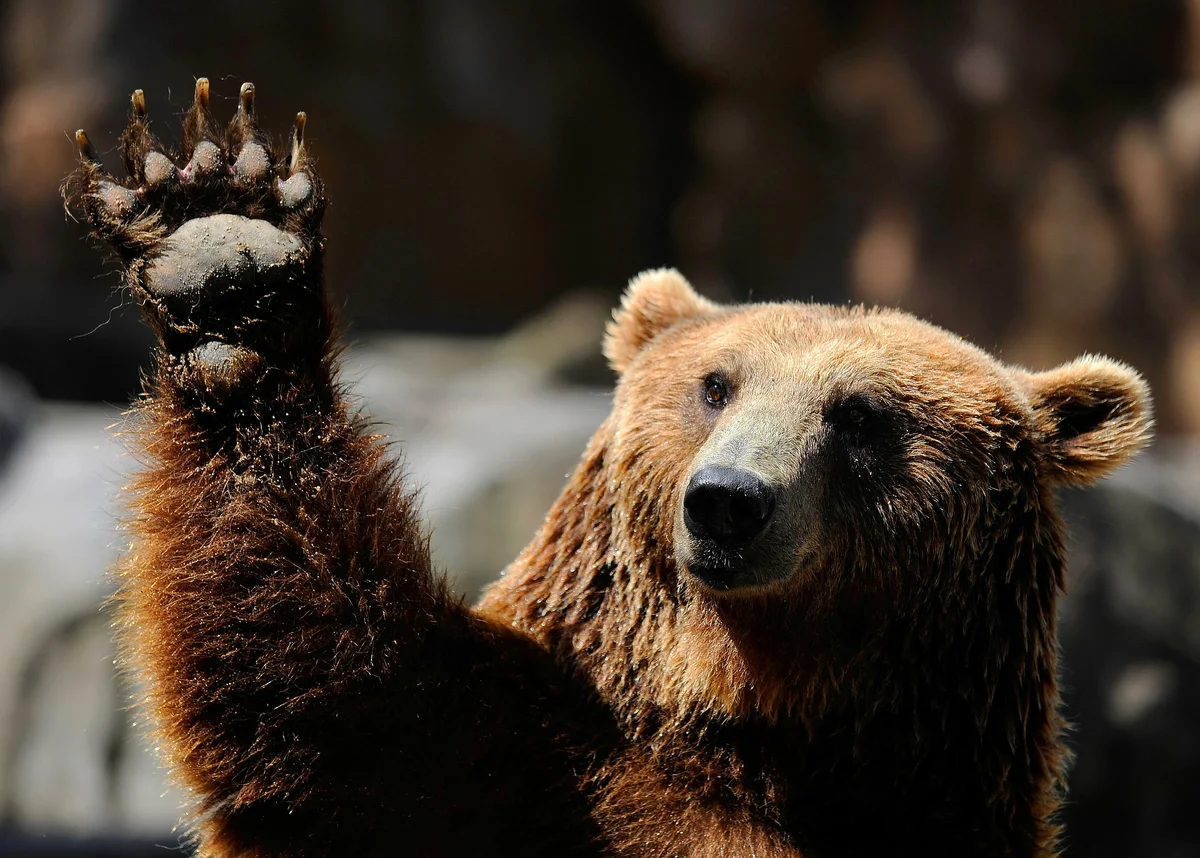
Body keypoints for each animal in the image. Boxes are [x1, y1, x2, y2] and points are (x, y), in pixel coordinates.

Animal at [65, 80, 1153, 857]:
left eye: (860, 416)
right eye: (717, 384)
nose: (727, 504)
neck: (753, 716)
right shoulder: (486, 760)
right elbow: (302, 668)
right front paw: (221, 236)